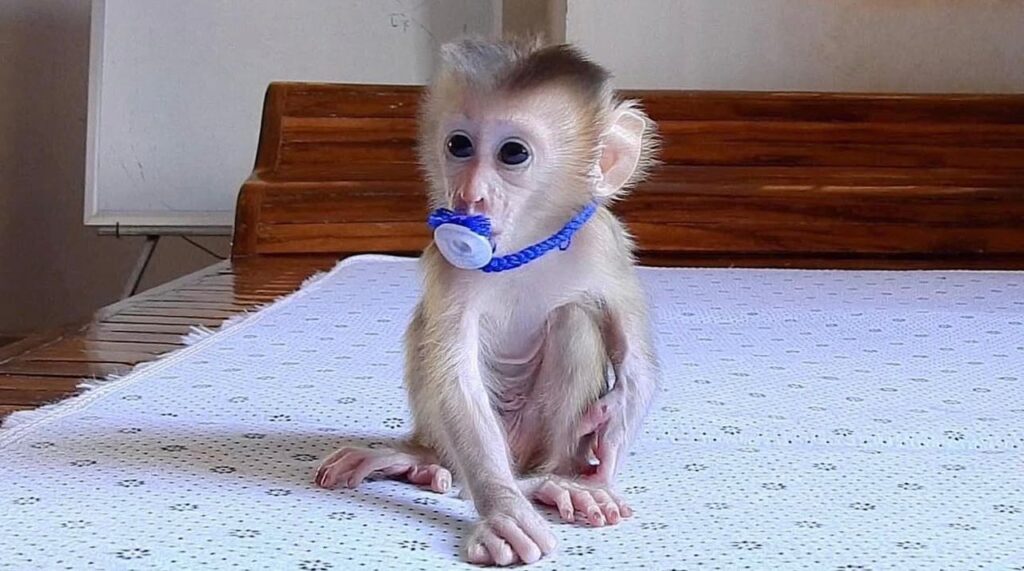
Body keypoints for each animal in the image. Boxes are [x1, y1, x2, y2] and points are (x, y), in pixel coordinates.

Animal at [316, 37, 660, 566]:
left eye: (512, 153)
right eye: (459, 145)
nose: (469, 195)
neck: (527, 243)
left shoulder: (605, 243)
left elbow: (634, 357)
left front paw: (611, 436)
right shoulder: (448, 261)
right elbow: (455, 374)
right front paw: (503, 512)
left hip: (536, 438)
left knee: (573, 320)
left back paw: (555, 482)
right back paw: (422, 462)